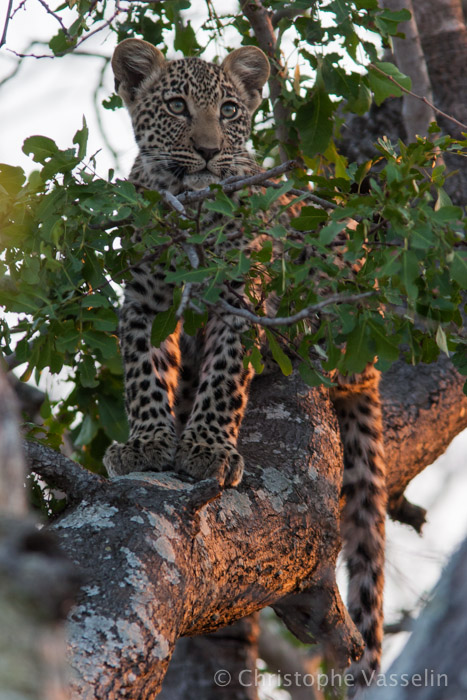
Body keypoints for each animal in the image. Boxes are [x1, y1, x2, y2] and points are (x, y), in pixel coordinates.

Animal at [105, 39, 388, 696]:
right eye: (177, 107)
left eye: (230, 109)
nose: (210, 151)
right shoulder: (146, 299)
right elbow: (144, 374)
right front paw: (148, 442)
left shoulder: (239, 294)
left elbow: (225, 377)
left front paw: (207, 449)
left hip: (341, 252)